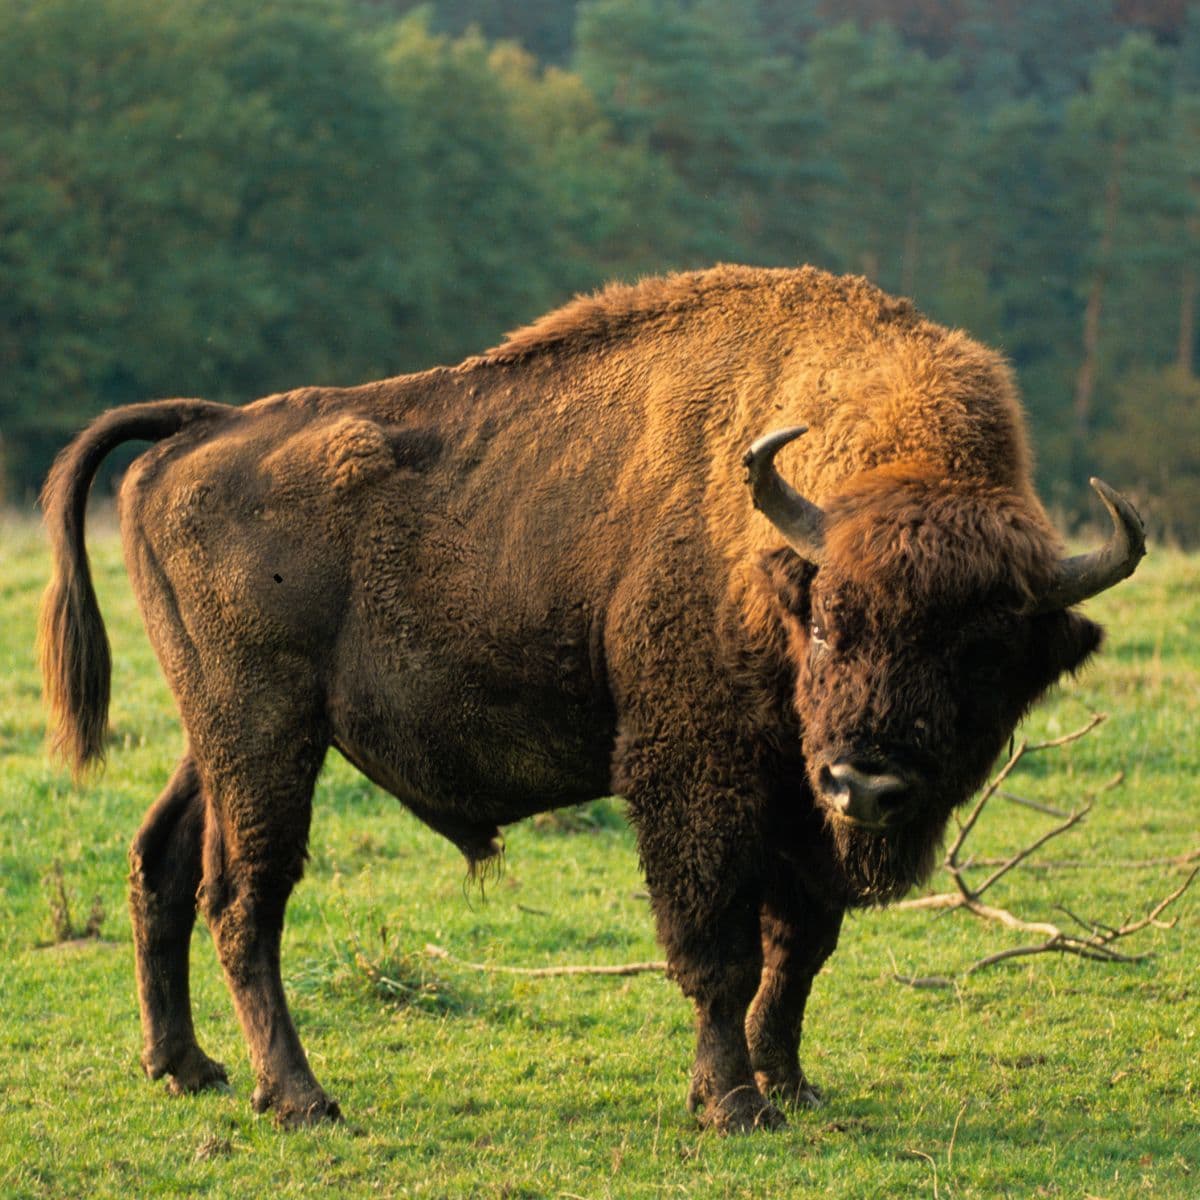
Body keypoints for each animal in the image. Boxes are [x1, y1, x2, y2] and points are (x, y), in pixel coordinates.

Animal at [39, 265, 1143, 1131]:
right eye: (831, 621)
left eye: (985, 650)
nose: (867, 782)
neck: (778, 552)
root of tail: (205, 429)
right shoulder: (696, 781)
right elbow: (720, 950)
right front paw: (733, 1106)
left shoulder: (800, 808)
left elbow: (798, 950)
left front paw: (790, 1086)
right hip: (264, 733)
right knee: (243, 897)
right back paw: (301, 1098)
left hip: (216, 733)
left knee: (162, 862)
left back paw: (186, 1068)